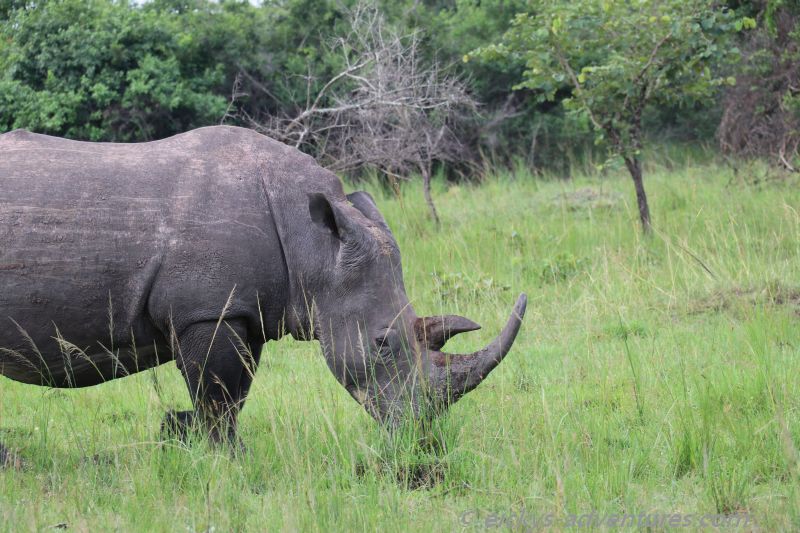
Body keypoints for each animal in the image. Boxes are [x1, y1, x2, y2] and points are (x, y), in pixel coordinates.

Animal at [0, 126, 526, 444]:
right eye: (382, 343)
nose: (420, 433)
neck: (312, 244)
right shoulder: (208, 310)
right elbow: (216, 396)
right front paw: (221, 460)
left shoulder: (245, 310)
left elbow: (235, 395)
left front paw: (198, 443)